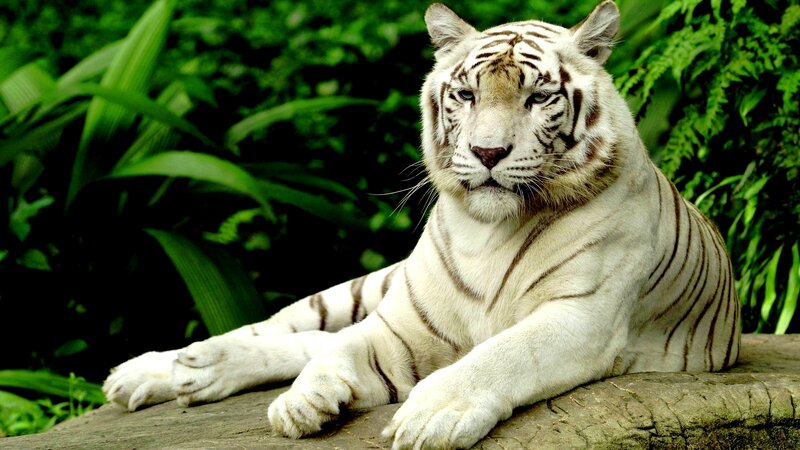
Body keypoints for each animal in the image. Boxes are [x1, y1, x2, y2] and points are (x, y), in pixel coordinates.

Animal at [103, 1, 741, 448]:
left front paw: (431, 414)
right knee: (288, 329)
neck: (489, 231)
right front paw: (303, 402)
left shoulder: (580, 317)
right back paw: (167, 368)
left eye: (538, 99)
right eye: (466, 94)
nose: (488, 152)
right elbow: (341, 349)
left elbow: (502, 355)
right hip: (366, 288)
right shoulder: (402, 325)